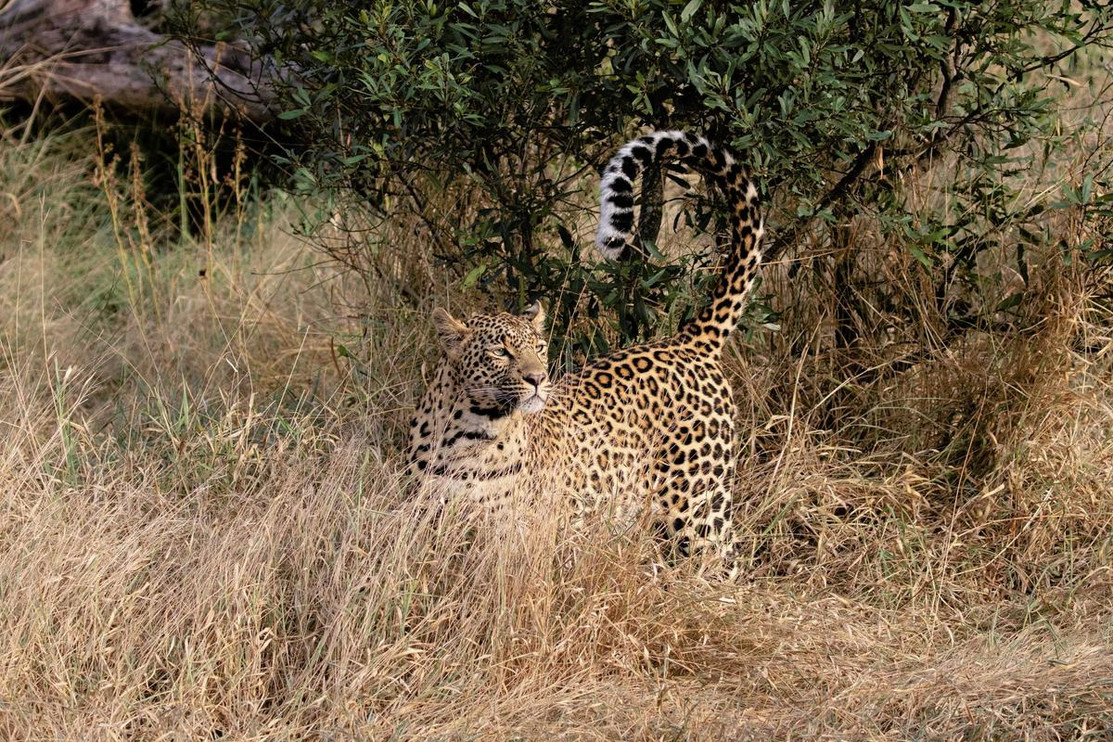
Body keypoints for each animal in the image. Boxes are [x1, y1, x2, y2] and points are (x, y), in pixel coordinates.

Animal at [408, 130, 766, 560]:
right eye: (499, 351)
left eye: (539, 347)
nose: (538, 379)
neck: (472, 433)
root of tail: (687, 341)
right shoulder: (423, 525)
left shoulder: (510, 543)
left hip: (699, 505)